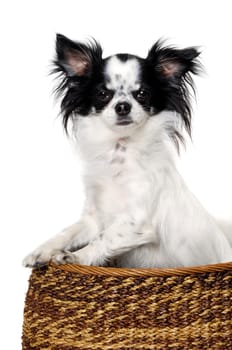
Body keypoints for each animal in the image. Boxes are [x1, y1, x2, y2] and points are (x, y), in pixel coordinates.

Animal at [22, 34, 231, 268]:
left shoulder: (136, 222)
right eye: (102, 94)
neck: (119, 150)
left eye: (142, 94)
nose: (123, 106)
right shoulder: (93, 219)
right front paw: (42, 251)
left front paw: (76, 257)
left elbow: (102, 239)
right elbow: (68, 232)